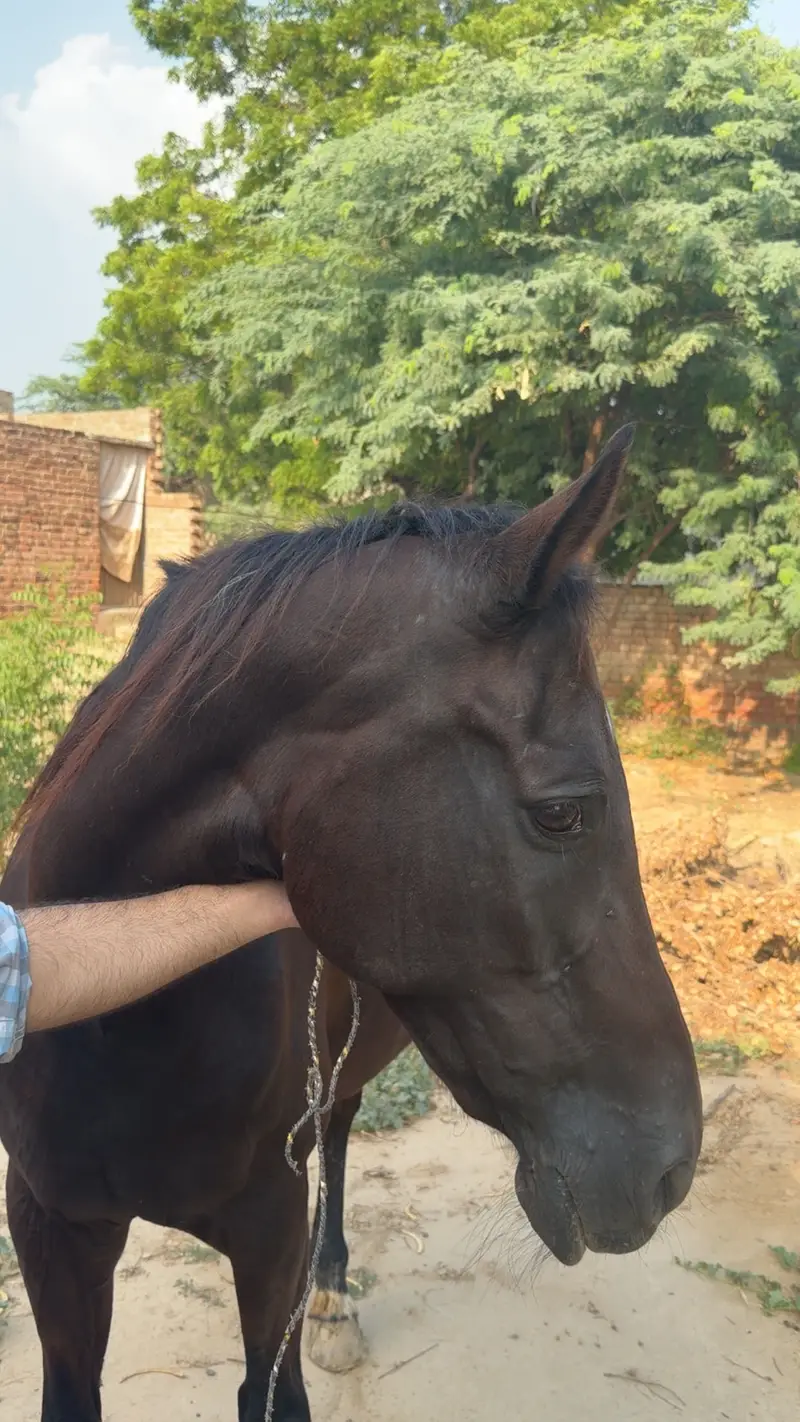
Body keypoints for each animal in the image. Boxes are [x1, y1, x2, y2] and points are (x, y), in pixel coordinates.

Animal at [0, 427, 703, 1422]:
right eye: (564, 812)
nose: (673, 1170)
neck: (117, 1034)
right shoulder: (53, 1232)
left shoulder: (269, 1240)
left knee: (339, 1132)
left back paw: (334, 1295)